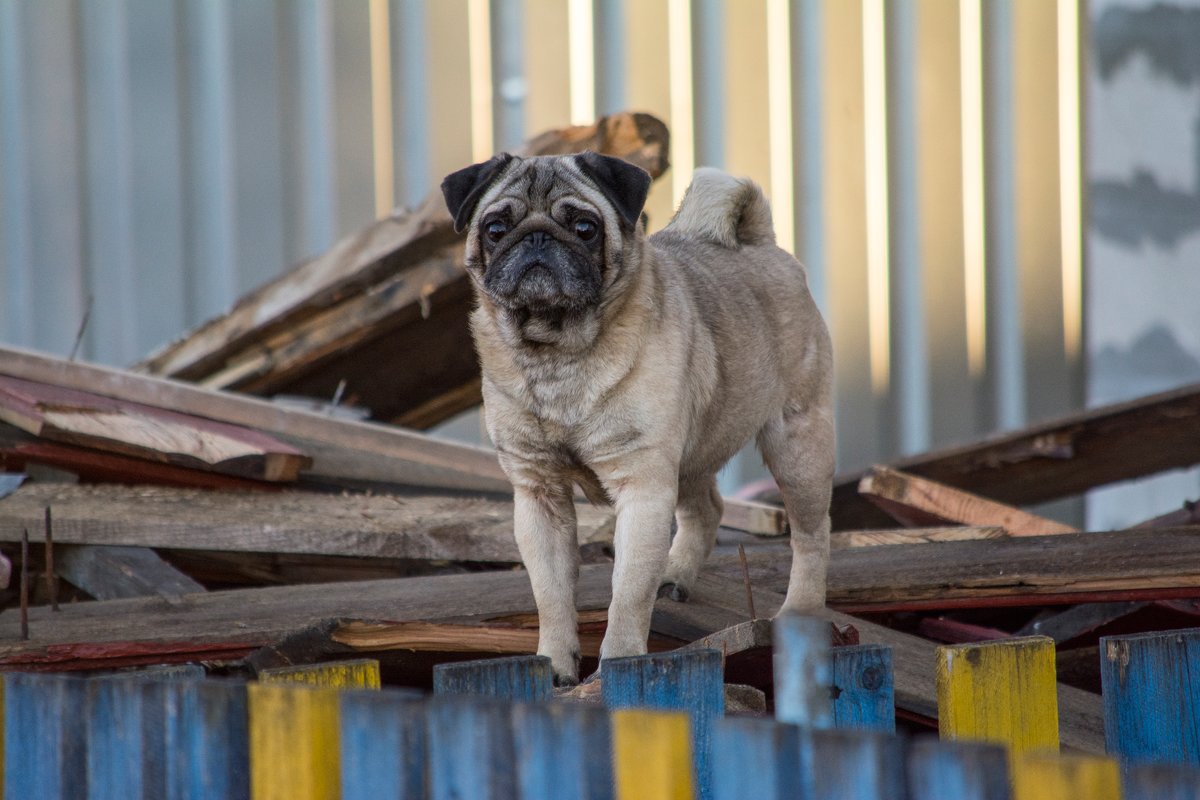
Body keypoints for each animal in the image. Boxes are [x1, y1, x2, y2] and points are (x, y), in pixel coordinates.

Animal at [444, 151, 835, 690]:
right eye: (496, 228)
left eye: (585, 228)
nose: (537, 238)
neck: (557, 351)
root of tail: (760, 242)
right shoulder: (539, 495)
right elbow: (551, 593)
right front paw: (555, 663)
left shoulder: (644, 488)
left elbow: (628, 593)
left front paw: (621, 663)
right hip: (692, 453)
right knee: (707, 509)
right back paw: (674, 574)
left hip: (797, 446)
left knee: (811, 535)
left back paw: (800, 611)